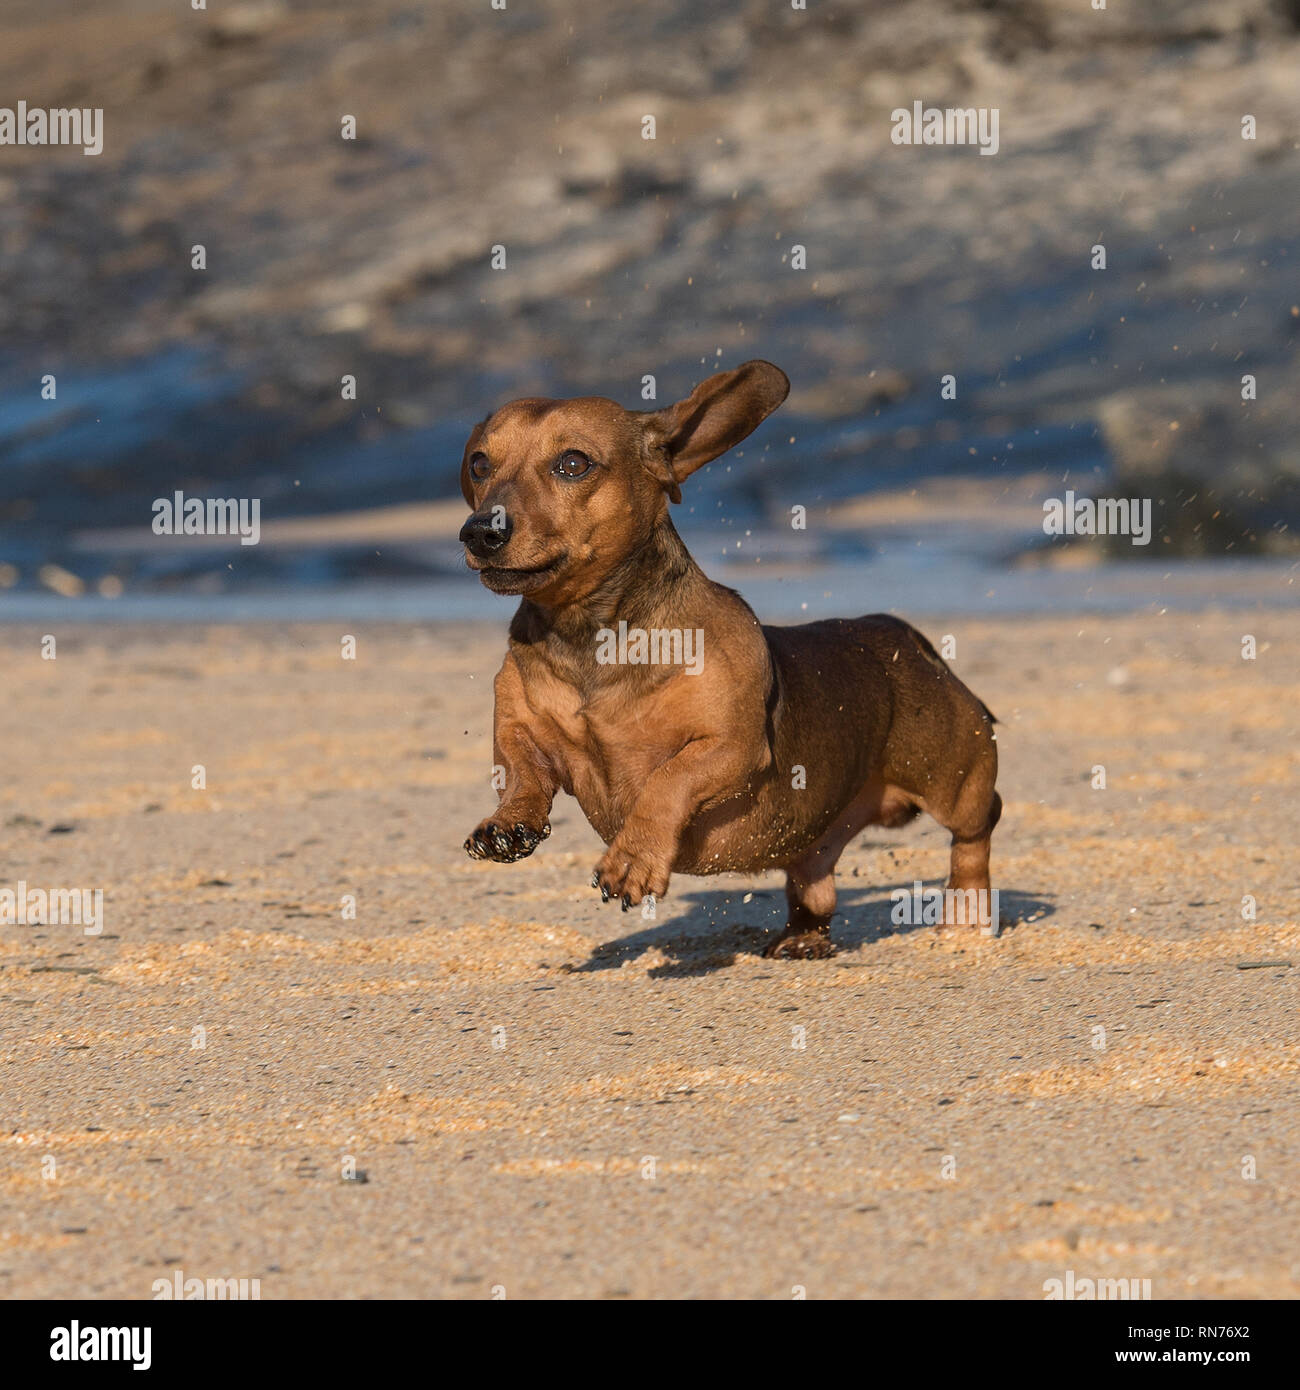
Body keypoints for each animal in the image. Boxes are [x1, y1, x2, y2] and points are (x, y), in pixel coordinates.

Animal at [458, 361, 1006, 956]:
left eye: (574, 463)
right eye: (480, 463)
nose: (480, 531)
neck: (591, 640)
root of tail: (907, 636)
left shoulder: (731, 747)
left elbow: (667, 780)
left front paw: (632, 859)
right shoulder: (518, 728)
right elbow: (521, 771)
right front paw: (508, 822)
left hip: (952, 778)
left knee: (977, 830)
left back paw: (966, 913)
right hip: (819, 835)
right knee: (815, 882)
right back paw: (802, 937)